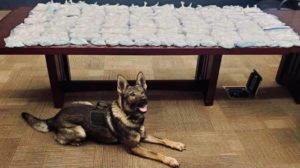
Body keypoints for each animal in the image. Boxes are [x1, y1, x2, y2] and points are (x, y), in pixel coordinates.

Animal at [21, 71, 185, 167]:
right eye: (132, 95)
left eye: (143, 92)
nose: (145, 100)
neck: (131, 117)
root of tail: (55, 116)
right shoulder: (134, 147)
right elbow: (156, 153)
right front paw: (170, 159)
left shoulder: (143, 136)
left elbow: (163, 139)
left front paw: (176, 144)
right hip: (80, 131)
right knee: (57, 137)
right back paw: (74, 142)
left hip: (87, 103)